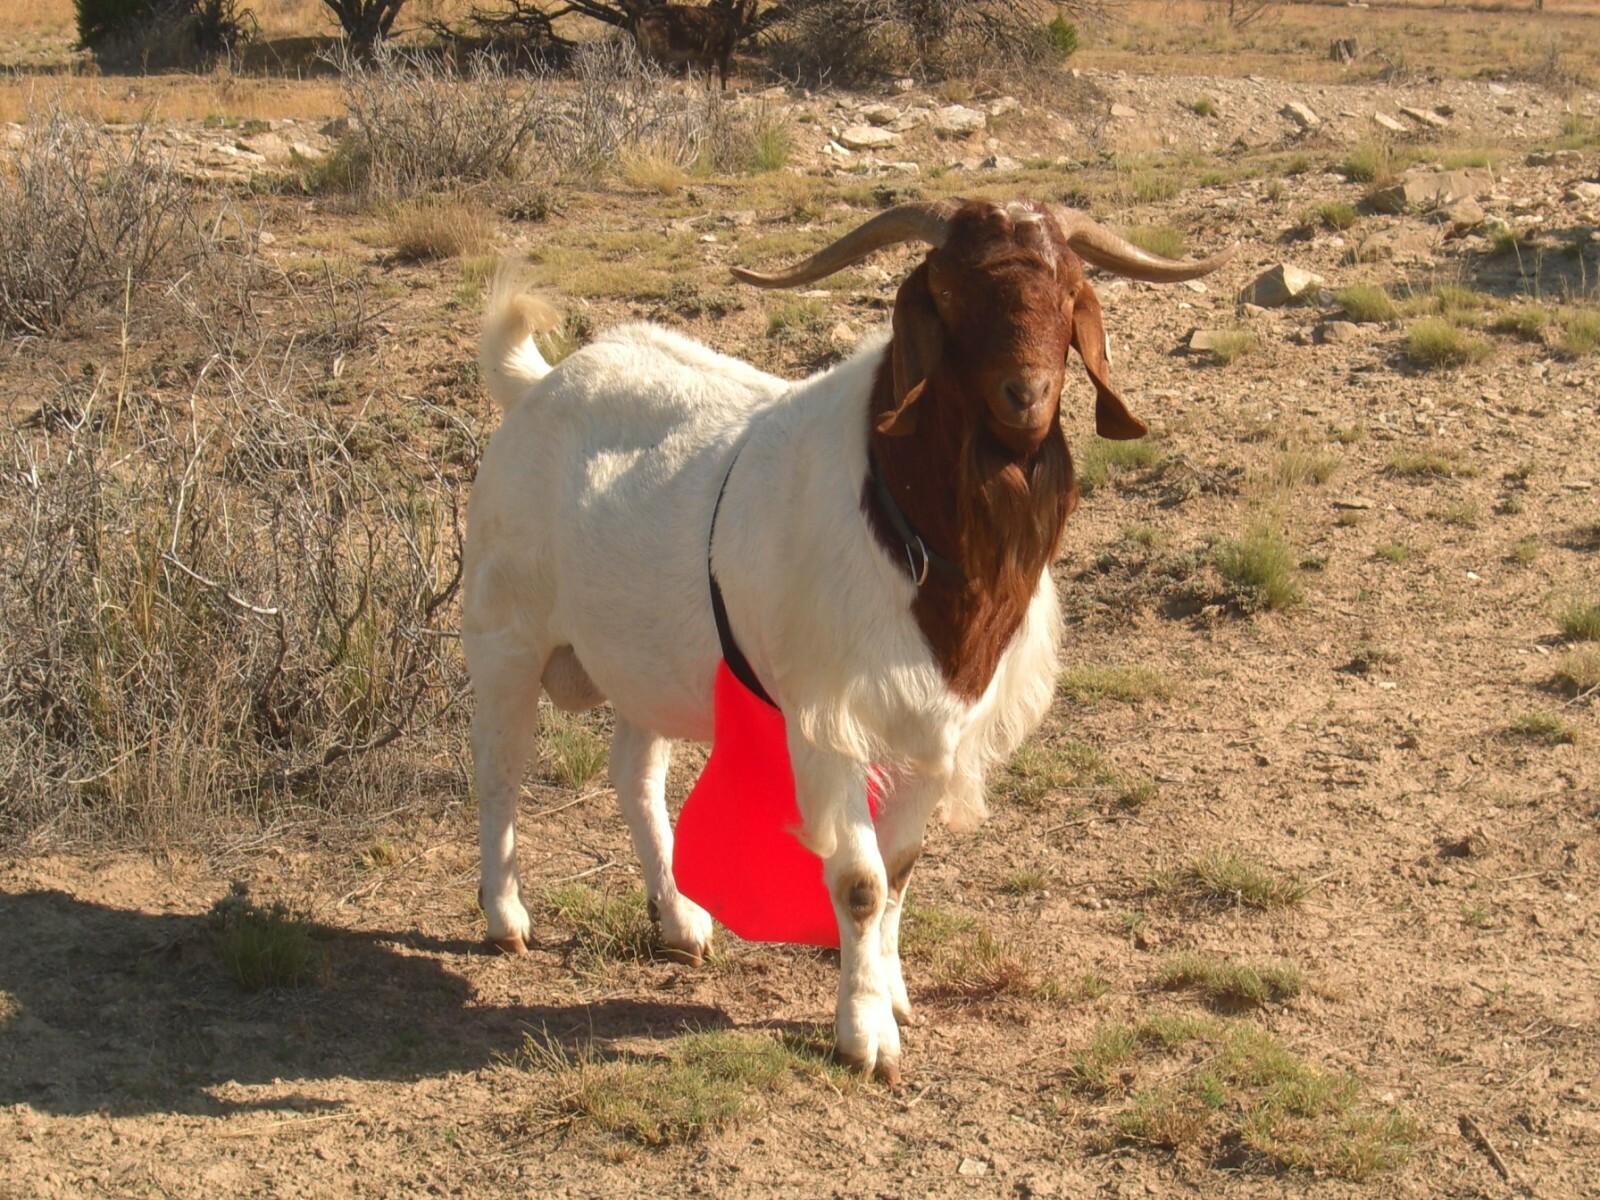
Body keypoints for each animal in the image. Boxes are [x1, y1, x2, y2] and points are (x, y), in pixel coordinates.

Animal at [464, 198, 1232, 1081]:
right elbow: (862, 883)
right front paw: (865, 1036)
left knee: (635, 774)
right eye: (949, 291)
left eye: (1071, 290)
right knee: (500, 772)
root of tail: (536, 384)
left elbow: (899, 873)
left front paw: (890, 994)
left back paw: (681, 921)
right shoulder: (829, 722)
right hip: (505, 639)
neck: (909, 524)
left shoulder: (939, 730)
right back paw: (506, 918)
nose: (1027, 396)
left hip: (644, 663)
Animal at [624, 0, 756, 89]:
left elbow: (708, 75)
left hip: (643, 46)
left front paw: (708, 91)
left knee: (642, 68)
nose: (753, 18)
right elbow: (723, 76)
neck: (734, 21)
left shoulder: (708, 54)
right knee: (647, 69)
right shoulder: (723, 50)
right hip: (657, 48)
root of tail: (640, 18)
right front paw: (723, 92)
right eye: (753, 3)